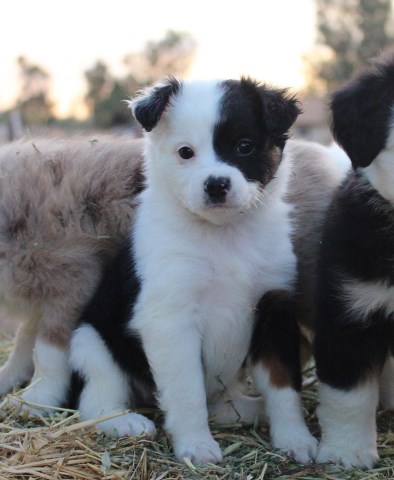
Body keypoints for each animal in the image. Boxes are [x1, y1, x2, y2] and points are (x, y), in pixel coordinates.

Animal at [70, 78, 342, 464]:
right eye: (185, 152)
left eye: (244, 147)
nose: (216, 185)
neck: (224, 235)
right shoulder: (171, 322)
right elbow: (188, 392)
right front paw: (196, 445)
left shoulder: (274, 308)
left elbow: (283, 385)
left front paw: (294, 438)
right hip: (90, 342)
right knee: (96, 400)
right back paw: (125, 422)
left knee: (222, 405)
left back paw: (250, 409)